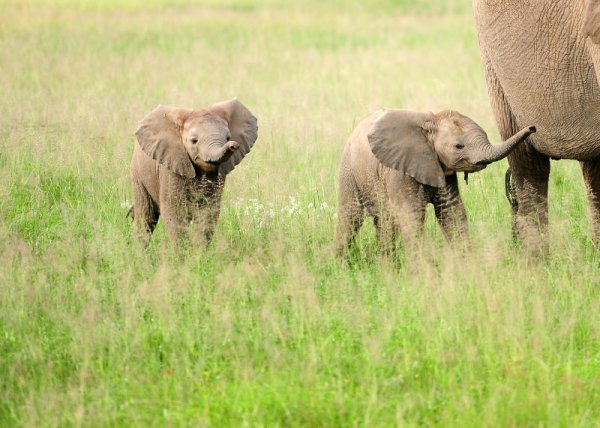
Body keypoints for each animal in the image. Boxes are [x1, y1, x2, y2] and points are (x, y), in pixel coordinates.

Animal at [131, 96, 258, 244]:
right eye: (194, 141)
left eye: (228, 138)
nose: (233, 145)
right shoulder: (171, 165)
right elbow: (175, 211)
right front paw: (183, 251)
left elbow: (208, 212)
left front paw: (199, 250)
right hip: (137, 173)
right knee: (146, 216)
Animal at [336, 109, 536, 254]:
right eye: (458, 146)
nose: (532, 128)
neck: (430, 122)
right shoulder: (398, 171)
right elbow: (412, 216)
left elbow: (451, 213)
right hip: (348, 172)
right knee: (351, 219)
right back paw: (342, 267)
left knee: (384, 223)